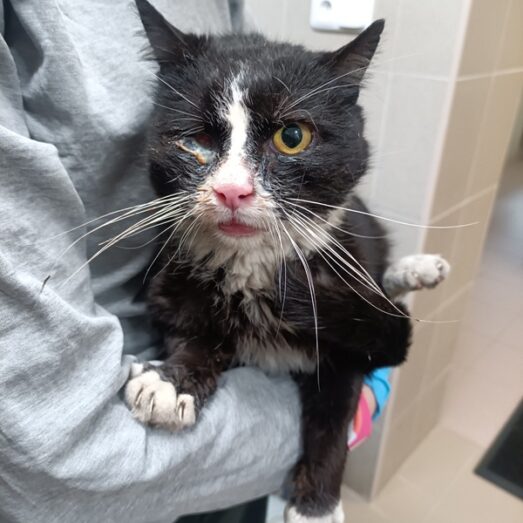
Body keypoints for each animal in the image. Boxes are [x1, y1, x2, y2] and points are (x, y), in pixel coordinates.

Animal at [125, 1, 448, 522]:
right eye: (195, 140)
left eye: (292, 136)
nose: (231, 190)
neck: (251, 269)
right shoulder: (170, 284)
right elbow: (192, 333)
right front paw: (172, 382)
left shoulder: (358, 327)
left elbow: (336, 412)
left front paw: (316, 504)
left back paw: (418, 269)